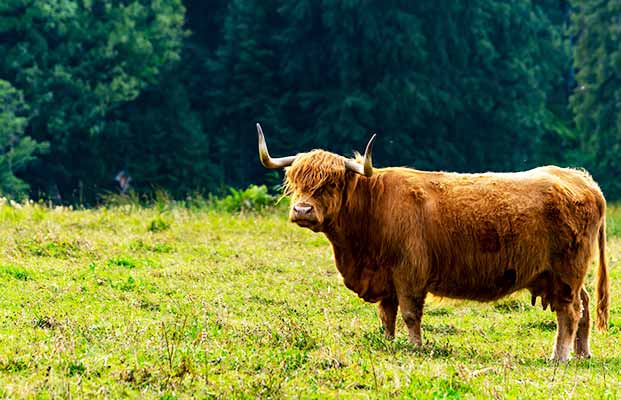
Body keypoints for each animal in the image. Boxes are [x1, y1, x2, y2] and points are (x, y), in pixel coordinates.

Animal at [254, 123, 608, 360]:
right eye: (295, 180)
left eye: (331, 183)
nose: (302, 210)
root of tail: (580, 179)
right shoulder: (385, 277)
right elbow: (387, 314)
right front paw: (388, 343)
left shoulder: (409, 272)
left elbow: (411, 314)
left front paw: (415, 346)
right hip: (563, 274)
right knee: (584, 305)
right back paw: (582, 353)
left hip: (566, 271)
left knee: (569, 312)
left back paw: (559, 356)